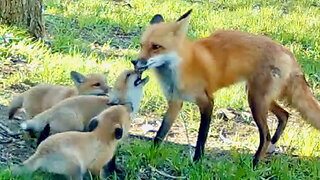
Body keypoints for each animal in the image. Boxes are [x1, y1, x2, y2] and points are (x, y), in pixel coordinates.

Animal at [132, 9, 320, 167]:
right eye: (141, 45)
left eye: (156, 47)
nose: (134, 62)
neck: (180, 68)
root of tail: (288, 52)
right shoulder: (175, 102)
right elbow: (159, 135)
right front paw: (149, 156)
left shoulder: (207, 102)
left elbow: (201, 137)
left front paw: (197, 162)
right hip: (258, 97)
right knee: (285, 115)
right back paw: (270, 149)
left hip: (256, 101)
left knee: (266, 135)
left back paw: (254, 165)